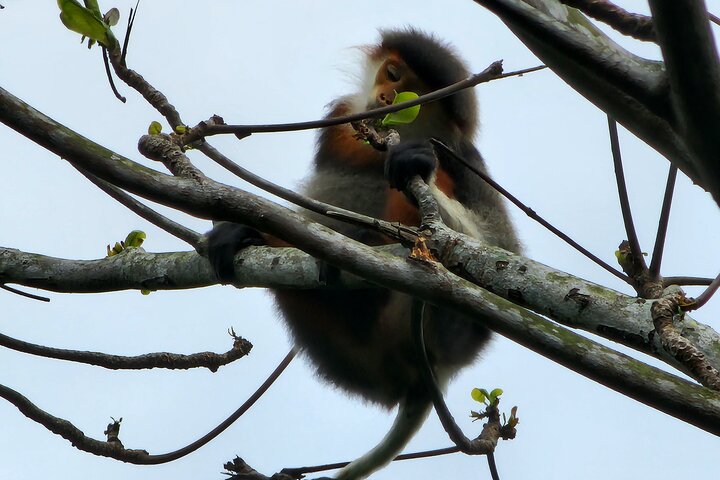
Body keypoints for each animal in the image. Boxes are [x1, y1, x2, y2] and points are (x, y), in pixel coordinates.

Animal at [207, 28, 521, 479]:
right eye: (391, 73)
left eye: (412, 91)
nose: (387, 97)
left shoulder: (461, 156)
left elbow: (502, 251)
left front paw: (413, 162)